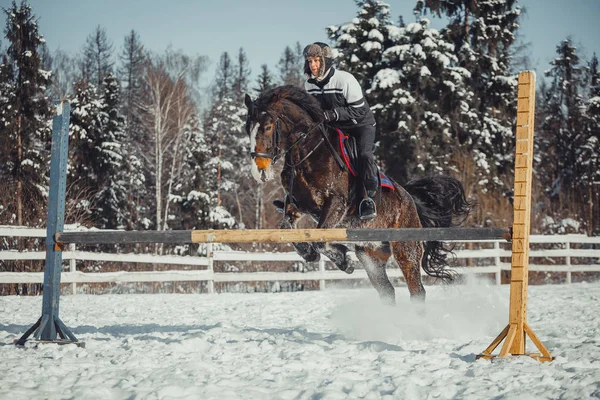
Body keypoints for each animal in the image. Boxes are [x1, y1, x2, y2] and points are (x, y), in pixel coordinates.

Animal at [241, 84, 472, 304]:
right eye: (247, 128)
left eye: (268, 127)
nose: (259, 171)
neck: (307, 152)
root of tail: (410, 200)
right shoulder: (297, 204)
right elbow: (287, 228)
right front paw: (312, 253)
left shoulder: (336, 203)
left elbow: (320, 238)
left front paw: (342, 258)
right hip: (370, 255)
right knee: (387, 291)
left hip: (406, 248)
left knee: (417, 290)